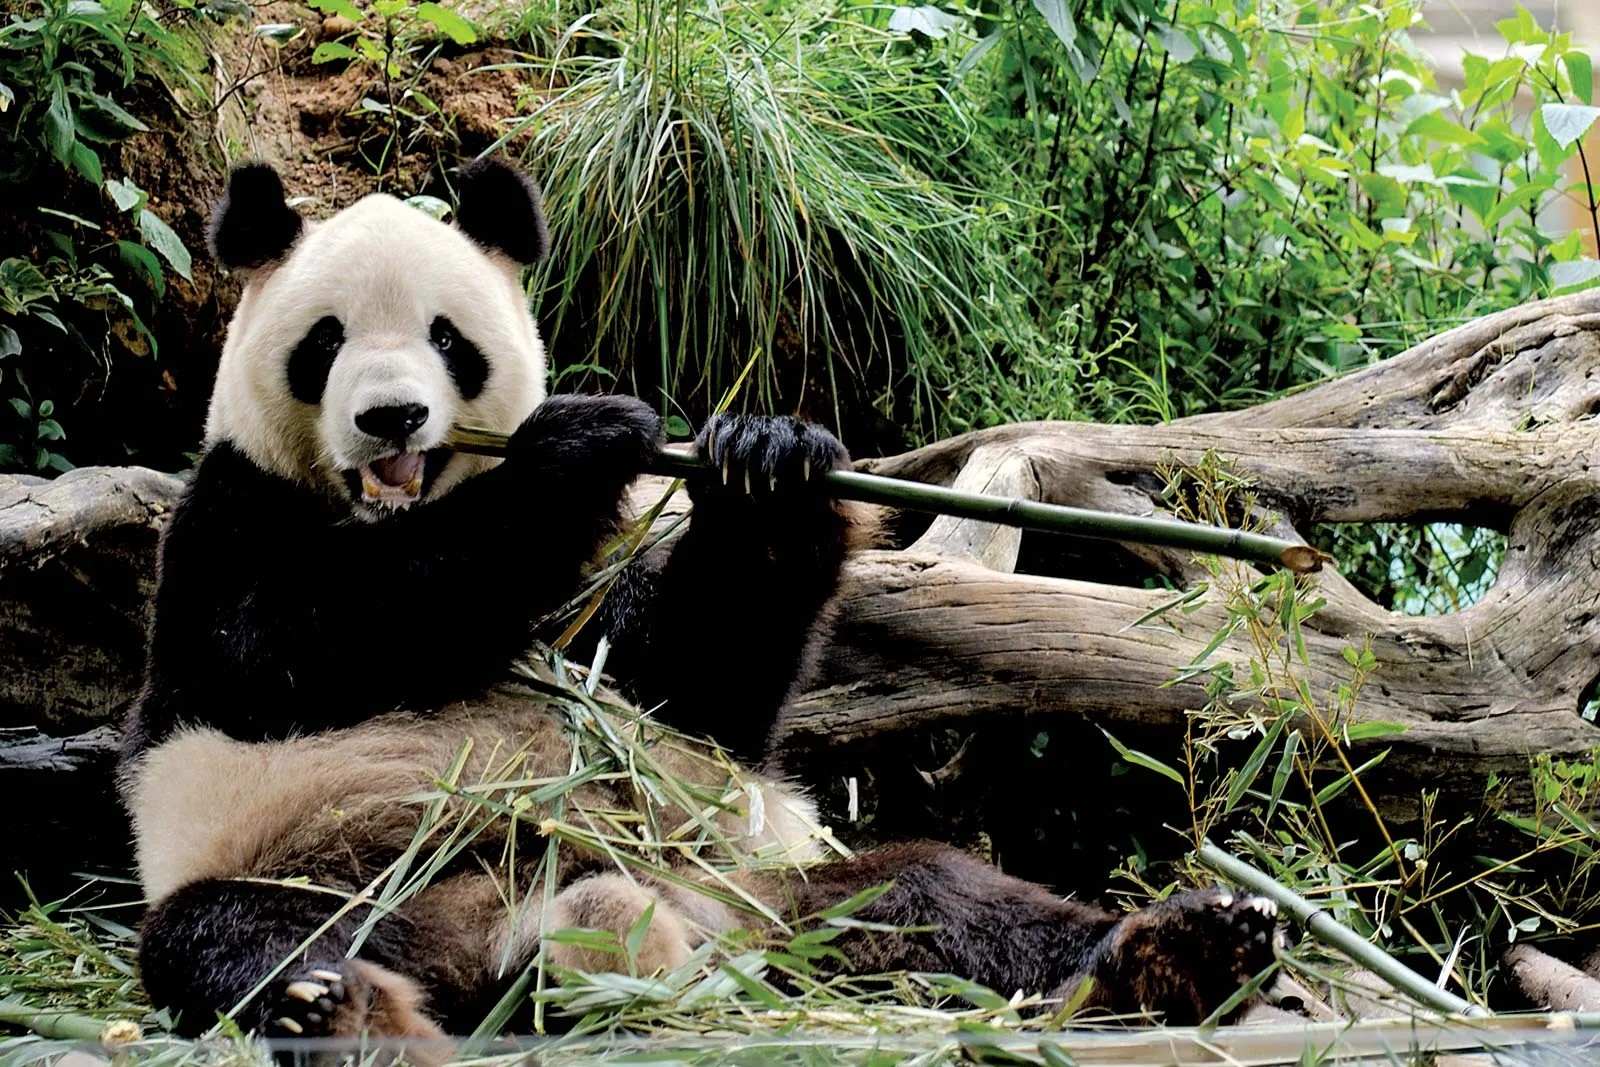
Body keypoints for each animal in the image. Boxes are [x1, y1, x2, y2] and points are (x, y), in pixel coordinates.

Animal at [118, 159, 1281, 1048]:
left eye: (447, 338)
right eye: (326, 340)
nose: (393, 416)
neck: (393, 511)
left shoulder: (602, 621)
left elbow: (699, 687)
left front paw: (766, 464)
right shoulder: (223, 520)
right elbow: (280, 644)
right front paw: (576, 445)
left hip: (768, 891)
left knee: (935, 894)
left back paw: (1177, 951)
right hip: (340, 874)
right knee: (237, 936)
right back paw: (343, 1012)